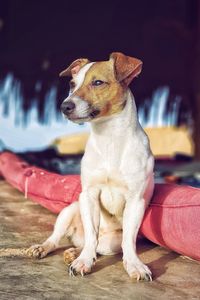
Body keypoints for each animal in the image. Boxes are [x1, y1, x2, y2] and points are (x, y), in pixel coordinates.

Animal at [27, 52, 154, 282]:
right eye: (72, 84)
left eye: (98, 83)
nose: (64, 106)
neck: (109, 137)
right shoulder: (90, 194)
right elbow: (91, 235)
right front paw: (83, 262)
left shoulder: (136, 200)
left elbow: (128, 242)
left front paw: (134, 265)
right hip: (70, 210)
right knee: (64, 239)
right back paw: (46, 248)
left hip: (112, 242)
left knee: (99, 245)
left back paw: (73, 252)